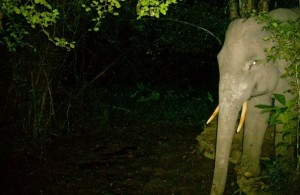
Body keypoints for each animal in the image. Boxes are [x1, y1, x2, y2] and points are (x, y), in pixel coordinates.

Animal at [206, 8, 300, 195]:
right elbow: (257, 113)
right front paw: (248, 172)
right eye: (219, 60)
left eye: (254, 63)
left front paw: (284, 175)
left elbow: (286, 112)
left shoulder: (290, 74)